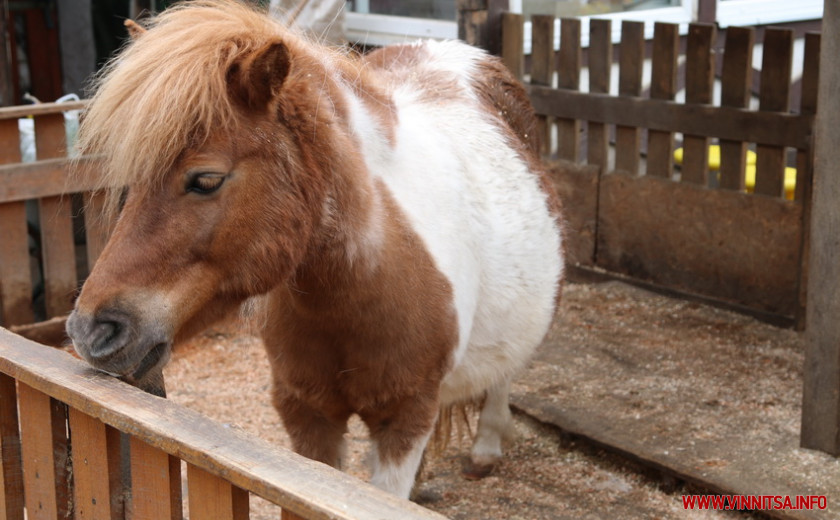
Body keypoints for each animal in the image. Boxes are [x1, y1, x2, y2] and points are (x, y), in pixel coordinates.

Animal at [67, 0, 564, 500]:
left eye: (205, 180)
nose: (90, 330)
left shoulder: (404, 422)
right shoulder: (308, 415)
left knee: (504, 375)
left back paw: (486, 449)